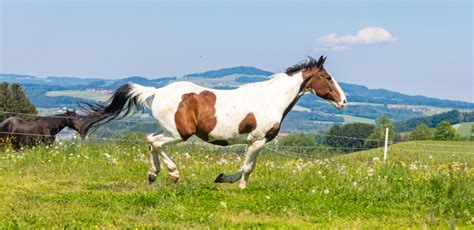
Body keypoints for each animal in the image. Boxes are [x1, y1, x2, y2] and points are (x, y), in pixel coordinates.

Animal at [79, 56, 346, 189]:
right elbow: (248, 168)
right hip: (179, 133)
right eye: (328, 77)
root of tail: (157, 91)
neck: (271, 100)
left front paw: (222, 178)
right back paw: (173, 174)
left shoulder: (252, 142)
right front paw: (241, 189)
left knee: (150, 140)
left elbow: (244, 166)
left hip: (168, 129)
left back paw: (153, 175)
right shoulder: (258, 141)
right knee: (156, 143)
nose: (343, 101)